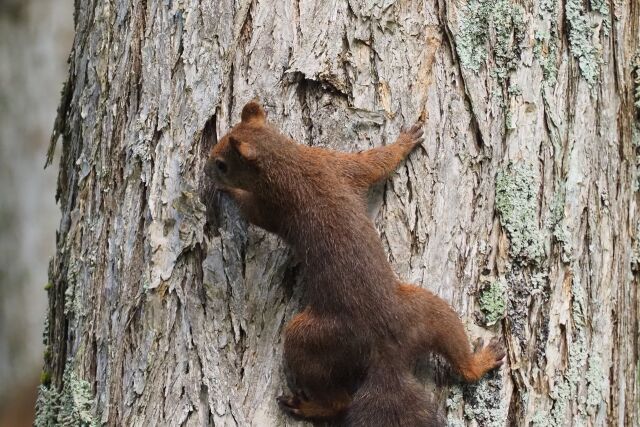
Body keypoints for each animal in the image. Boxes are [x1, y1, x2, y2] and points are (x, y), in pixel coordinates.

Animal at [205, 102, 504, 426]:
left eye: (222, 164)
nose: (206, 169)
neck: (290, 161)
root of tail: (386, 352)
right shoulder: (338, 164)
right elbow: (375, 162)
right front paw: (404, 143)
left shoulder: (275, 205)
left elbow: (252, 211)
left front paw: (229, 192)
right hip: (428, 311)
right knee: (460, 359)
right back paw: (480, 362)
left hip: (317, 339)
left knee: (338, 400)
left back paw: (310, 407)